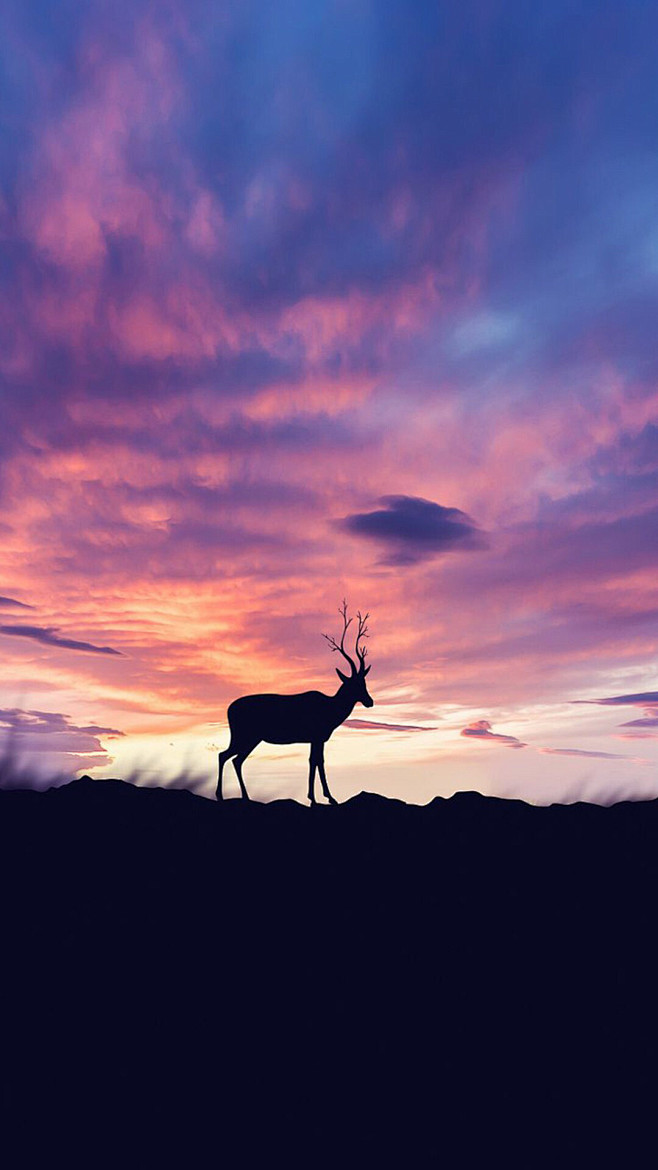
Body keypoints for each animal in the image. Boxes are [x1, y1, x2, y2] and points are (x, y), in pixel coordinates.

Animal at [215, 603, 369, 804]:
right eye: (355, 685)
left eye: (365, 683)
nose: (370, 701)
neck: (331, 713)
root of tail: (228, 710)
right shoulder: (317, 735)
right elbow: (317, 762)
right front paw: (325, 797)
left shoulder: (315, 738)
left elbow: (314, 761)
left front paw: (317, 797)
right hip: (245, 734)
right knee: (225, 755)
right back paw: (222, 795)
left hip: (250, 737)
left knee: (234, 759)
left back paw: (244, 796)